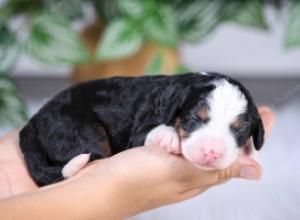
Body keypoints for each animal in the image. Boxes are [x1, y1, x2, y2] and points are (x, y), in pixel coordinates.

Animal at [19, 72, 262, 186]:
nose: (212, 152)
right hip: (79, 130)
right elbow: (151, 131)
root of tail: (32, 122)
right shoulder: (138, 130)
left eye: (239, 130)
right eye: (195, 118)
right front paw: (169, 137)